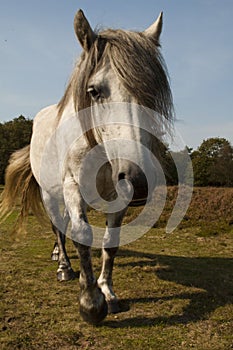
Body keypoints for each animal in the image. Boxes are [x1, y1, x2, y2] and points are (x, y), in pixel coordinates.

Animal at [0, 8, 173, 326]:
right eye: (93, 91)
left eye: (152, 94)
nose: (137, 180)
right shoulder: (72, 186)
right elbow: (82, 236)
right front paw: (91, 303)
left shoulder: (118, 196)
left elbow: (110, 242)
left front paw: (108, 292)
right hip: (51, 194)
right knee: (58, 226)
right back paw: (64, 267)